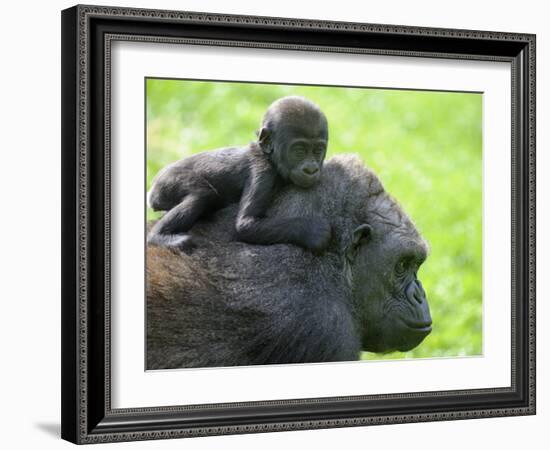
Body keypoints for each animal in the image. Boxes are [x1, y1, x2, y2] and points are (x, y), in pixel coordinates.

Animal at [147, 96, 334, 253]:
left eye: (318, 151)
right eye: (299, 151)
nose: (311, 169)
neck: (267, 156)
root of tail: (151, 191)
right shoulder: (262, 173)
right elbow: (246, 225)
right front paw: (312, 231)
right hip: (167, 180)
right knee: (201, 195)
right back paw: (159, 237)